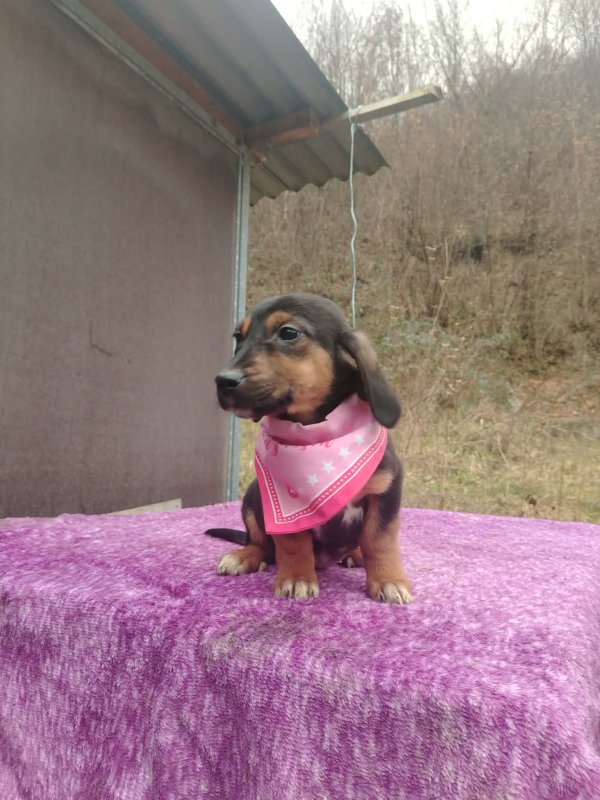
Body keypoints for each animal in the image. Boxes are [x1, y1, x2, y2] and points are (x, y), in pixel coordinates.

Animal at [209, 293, 412, 604]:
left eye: (288, 333)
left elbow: (379, 539)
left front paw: (388, 580)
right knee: (261, 543)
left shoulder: (387, 488)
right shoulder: (282, 510)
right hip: (253, 496)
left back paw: (355, 555)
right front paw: (297, 578)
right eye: (238, 336)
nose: (223, 381)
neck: (315, 434)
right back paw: (244, 556)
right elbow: (292, 542)